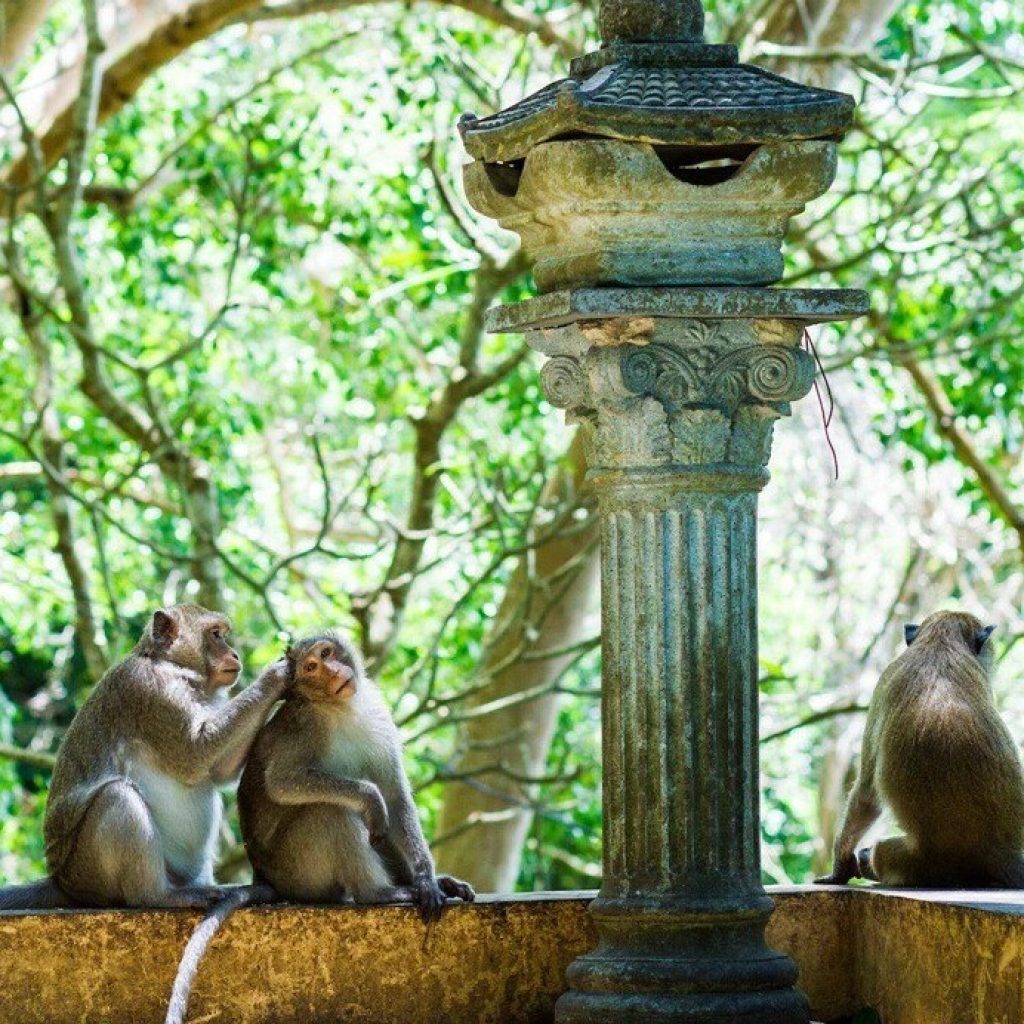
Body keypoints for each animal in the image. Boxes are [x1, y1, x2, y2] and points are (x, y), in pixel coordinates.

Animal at [0, 604, 290, 912]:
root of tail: (62, 882)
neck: (171, 667)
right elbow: (194, 756)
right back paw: (156, 895)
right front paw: (278, 674)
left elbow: (218, 770)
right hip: (88, 872)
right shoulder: (151, 690)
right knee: (117, 796)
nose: (233, 654)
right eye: (215, 634)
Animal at [238, 631, 475, 918]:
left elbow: (395, 797)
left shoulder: (379, 716)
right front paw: (369, 795)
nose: (333, 671)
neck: (339, 707)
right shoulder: (303, 726)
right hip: (298, 873)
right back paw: (377, 892)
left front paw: (426, 878)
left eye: (326, 653)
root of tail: (263, 877)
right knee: (329, 810)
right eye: (311, 667)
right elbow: (281, 781)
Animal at [816, 610, 1024, 888]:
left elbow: (867, 794)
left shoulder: (883, 681)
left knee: (879, 852)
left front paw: (841, 866)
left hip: (917, 864)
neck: (939, 641)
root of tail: (997, 855)